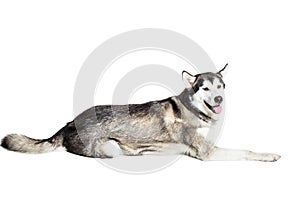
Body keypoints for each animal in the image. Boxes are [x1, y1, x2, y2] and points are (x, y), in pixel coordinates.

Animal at [0, 65, 282, 162]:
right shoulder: (208, 153)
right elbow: (247, 151)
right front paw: (270, 155)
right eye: (205, 88)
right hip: (110, 148)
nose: (219, 98)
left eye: (220, 86)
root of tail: (69, 122)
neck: (193, 109)